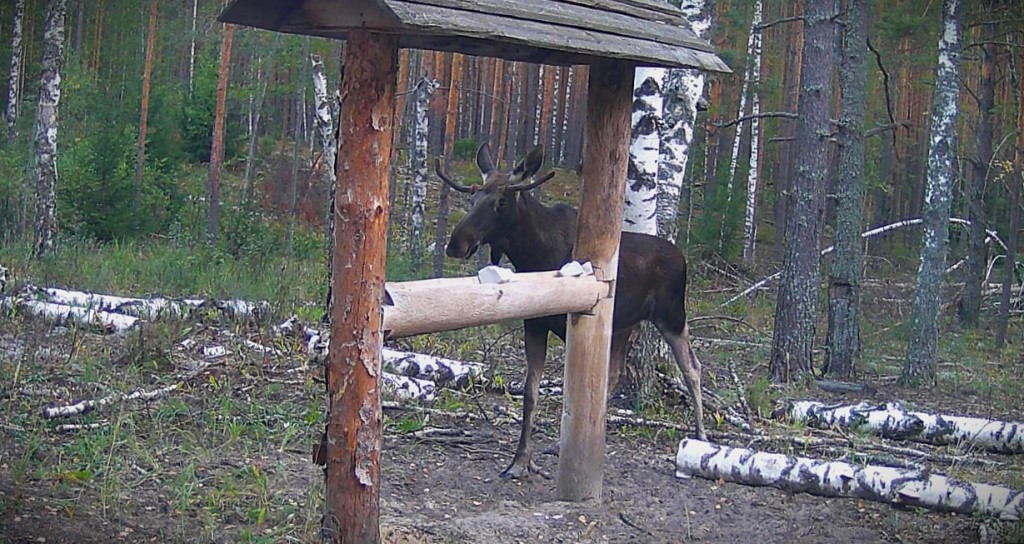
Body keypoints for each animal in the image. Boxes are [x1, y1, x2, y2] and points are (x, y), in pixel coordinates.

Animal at [432, 142, 704, 479]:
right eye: (473, 197)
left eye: (501, 202)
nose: (457, 244)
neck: (533, 254)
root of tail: (683, 257)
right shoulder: (535, 324)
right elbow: (531, 393)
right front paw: (520, 460)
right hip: (624, 324)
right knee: (615, 375)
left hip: (672, 316)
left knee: (692, 368)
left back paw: (701, 438)